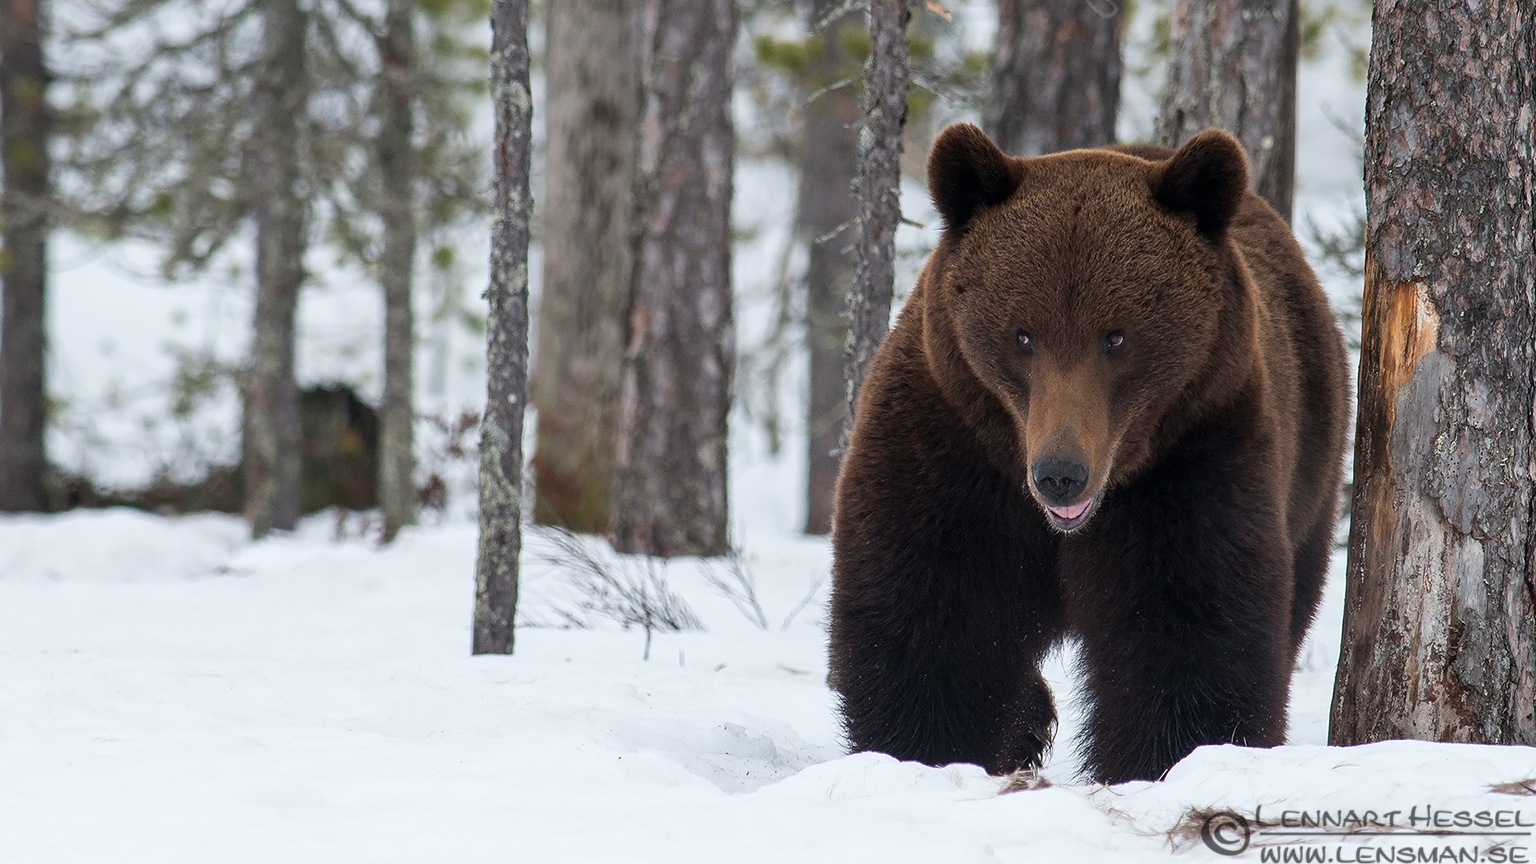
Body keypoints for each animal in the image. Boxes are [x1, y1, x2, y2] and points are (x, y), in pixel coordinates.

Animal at [828, 123, 1350, 785]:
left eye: (1116, 336)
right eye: (1022, 334)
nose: (1060, 474)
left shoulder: (1195, 455)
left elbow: (1188, 627)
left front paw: (1167, 759)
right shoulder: (949, 446)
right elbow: (933, 617)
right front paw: (927, 752)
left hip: (1312, 467)